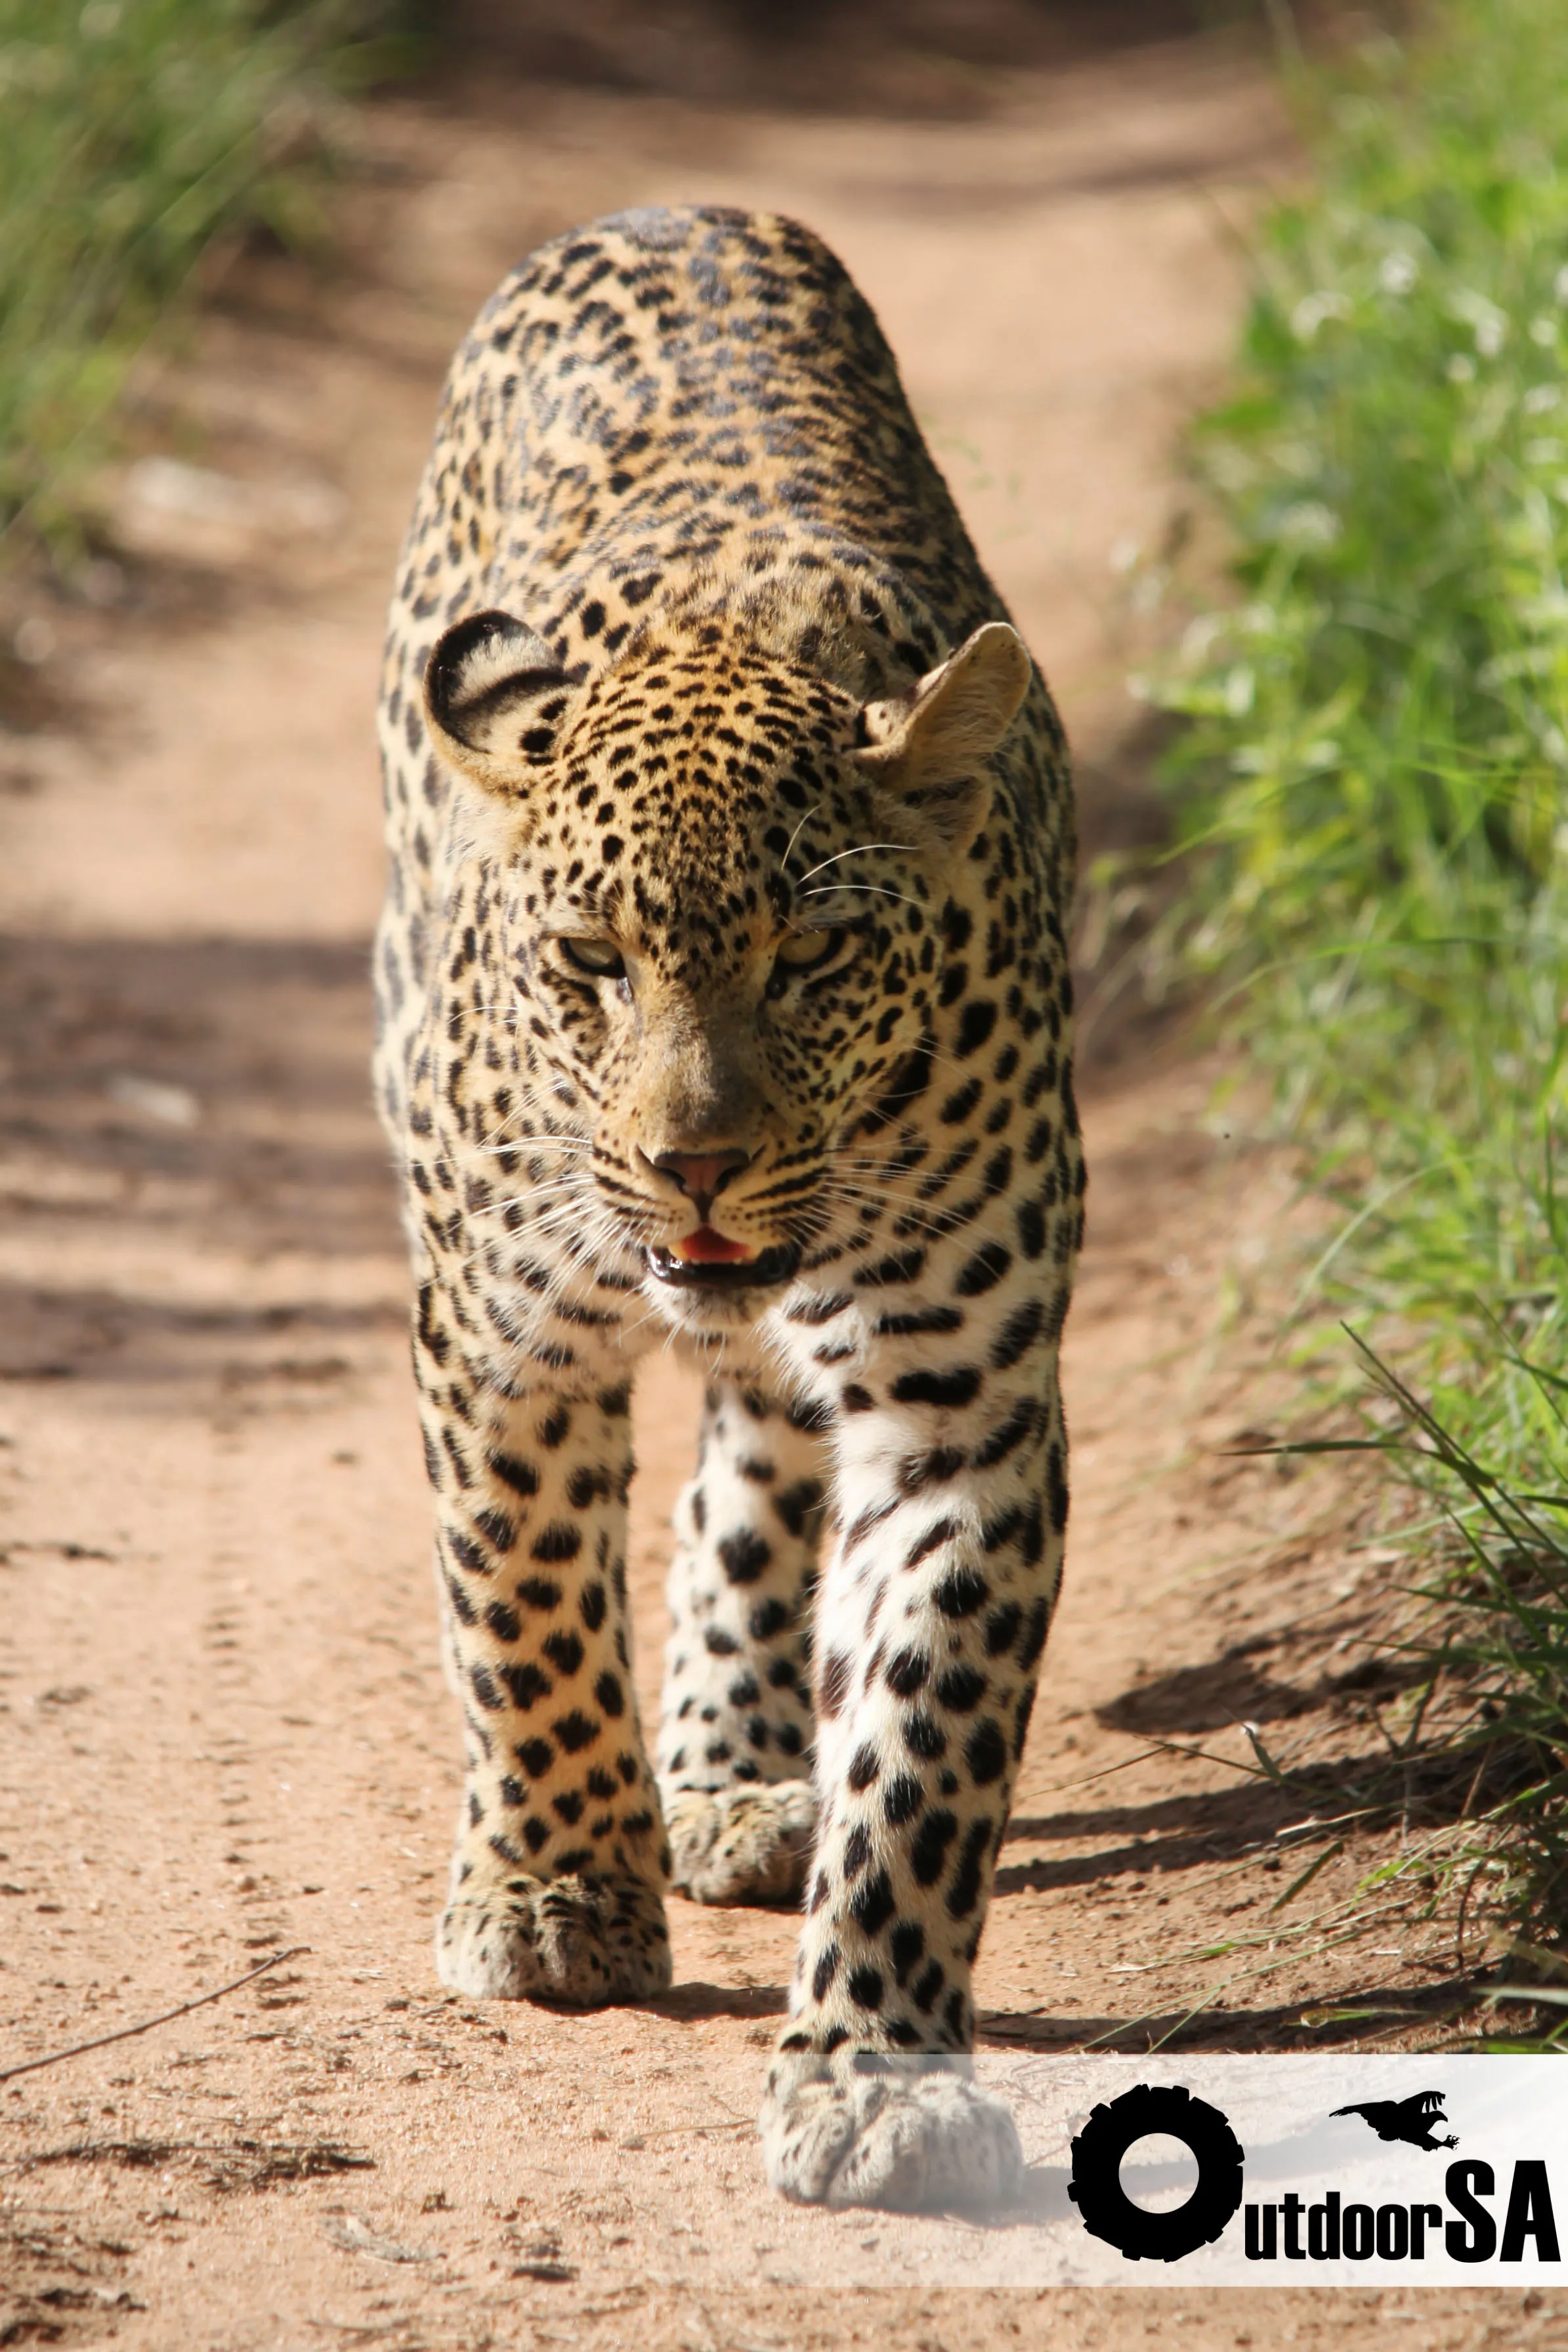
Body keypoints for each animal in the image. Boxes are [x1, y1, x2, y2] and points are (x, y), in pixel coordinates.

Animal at [373, 203, 1083, 2212]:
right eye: (589, 964)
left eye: (814, 956)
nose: (693, 1156)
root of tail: (675, 209)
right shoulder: (501, 1329)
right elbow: (524, 1602)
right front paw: (554, 1889)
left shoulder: (963, 1410)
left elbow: (921, 1752)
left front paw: (872, 2068)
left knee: (749, 1468)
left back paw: (732, 1768)